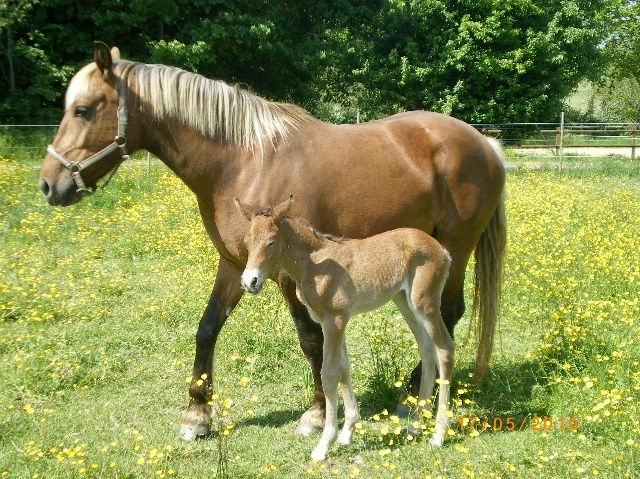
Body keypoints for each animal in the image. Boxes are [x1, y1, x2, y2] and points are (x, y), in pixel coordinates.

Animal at [236, 195, 456, 462]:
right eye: (246, 241)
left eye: (271, 242)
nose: (250, 282)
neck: (313, 263)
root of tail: (442, 250)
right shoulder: (329, 321)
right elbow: (343, 368)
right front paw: (347, 431)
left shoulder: (335, 319)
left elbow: (329, 374)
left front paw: (324, 444)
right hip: (404, 301)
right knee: (426, 348)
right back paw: (415, 426)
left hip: (425, 302)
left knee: (444, 348)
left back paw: (438, 435)